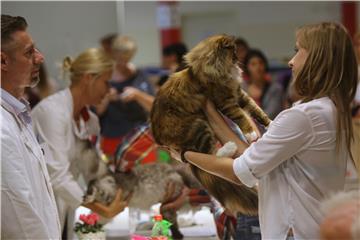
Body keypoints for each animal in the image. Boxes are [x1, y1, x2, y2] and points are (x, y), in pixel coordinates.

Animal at [149, 33, 270, 214]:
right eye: (233, 51)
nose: (238, 59)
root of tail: (160, 139)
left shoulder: (239, 94)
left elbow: (257, 111)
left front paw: (271, 124)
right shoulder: (227, 102)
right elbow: (242, 117)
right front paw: (251, 133)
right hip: (198, 125)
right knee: (212, 154)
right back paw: (229, 147)